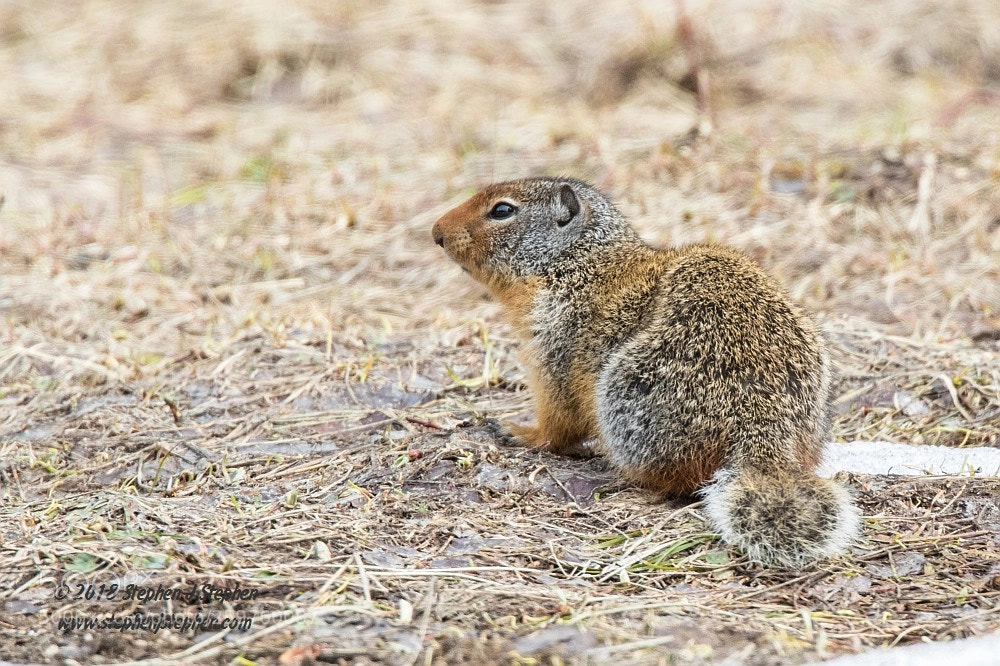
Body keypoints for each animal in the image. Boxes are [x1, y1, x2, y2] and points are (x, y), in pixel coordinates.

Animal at [431, 177, 860, 568]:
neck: (577, 261)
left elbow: (559, 421)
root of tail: (764, 427)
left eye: (502, 210)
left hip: (627, 394)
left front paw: (518, 431)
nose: (436, 232)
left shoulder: (555, 348)